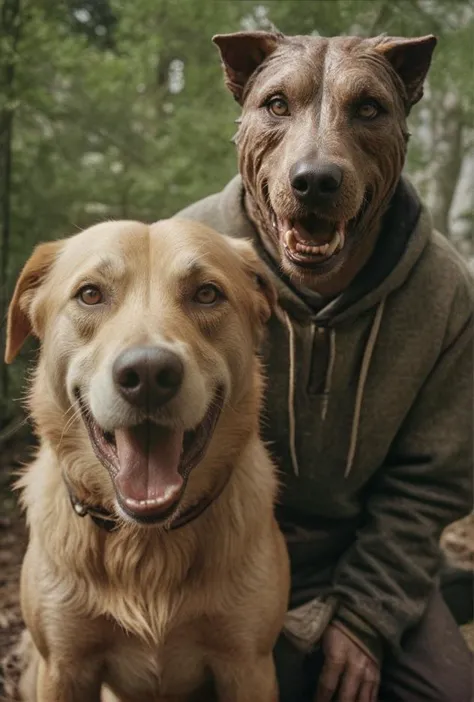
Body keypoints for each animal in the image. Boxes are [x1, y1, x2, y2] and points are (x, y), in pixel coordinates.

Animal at [5, 220, 288, 702]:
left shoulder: (249, 665)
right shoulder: (63, 665)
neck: (146, 546)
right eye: (90, 294)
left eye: (207, 293)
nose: (149, 375)